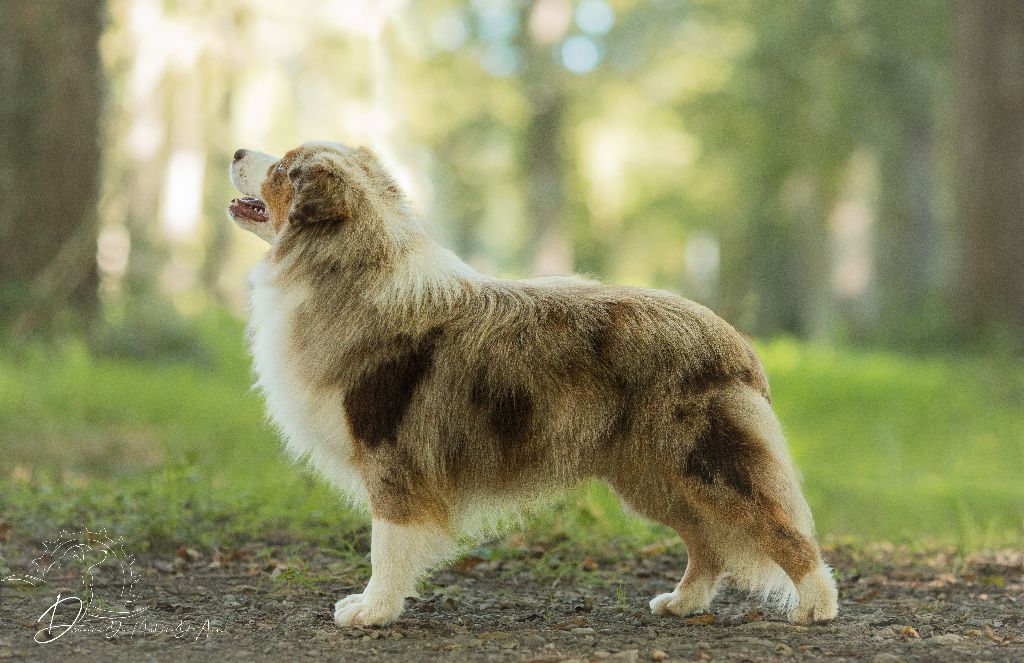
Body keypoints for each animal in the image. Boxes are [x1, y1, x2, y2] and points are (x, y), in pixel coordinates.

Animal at [228, 140, 835, 627]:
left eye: (281, 169)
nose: (235, 152)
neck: (345, 267)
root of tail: (738, 344)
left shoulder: (391, 454)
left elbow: (386, 546)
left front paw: (373, 612)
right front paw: (371, 607)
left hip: (708, 464)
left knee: (784, 531)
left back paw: (816, 607)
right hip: (654, 477)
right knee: (707, 544)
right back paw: (684, 603)